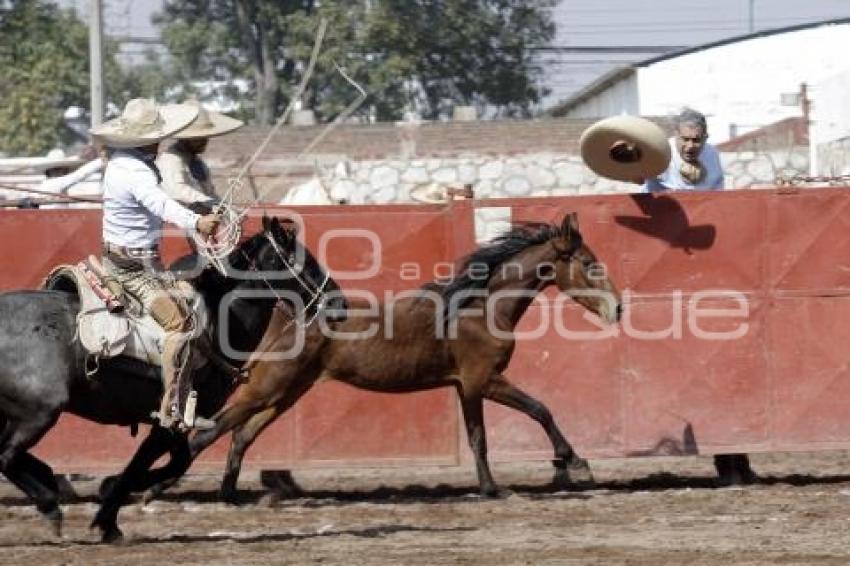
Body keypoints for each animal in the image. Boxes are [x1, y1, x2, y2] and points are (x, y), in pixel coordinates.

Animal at [0, 215, 346, 544]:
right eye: (304, 260)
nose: (340, 304)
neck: (217, 321)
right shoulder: (167, 422)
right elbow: (146, 466)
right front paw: (109, 512)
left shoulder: (177, 423)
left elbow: (174, 462)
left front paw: (111, 509)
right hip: (41, 412)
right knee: (5, 456)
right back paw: (50, 504)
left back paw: (48, 481)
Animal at [189, 213, 620, 502]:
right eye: (588, 263)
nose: (617, 308)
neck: (480, 308)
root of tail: (286, 316)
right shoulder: (484, 380)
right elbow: (539, 409)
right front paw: (573, 463)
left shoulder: (466, 387)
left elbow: (478, 437)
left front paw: (490, 487)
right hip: (270, 387)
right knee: (211, 431)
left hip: (287, 392)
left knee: (241, 434)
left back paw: (230, 493)